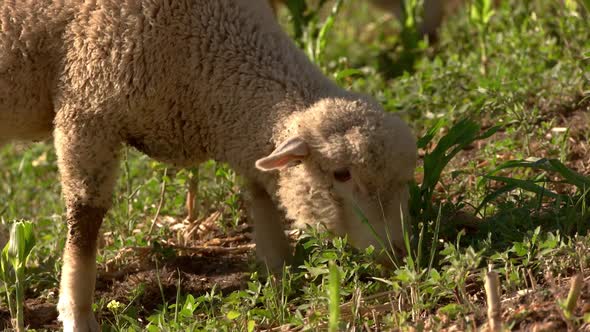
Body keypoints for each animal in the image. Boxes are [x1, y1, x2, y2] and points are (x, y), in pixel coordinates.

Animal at [0, 0, 418, 330]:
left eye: (404, 181)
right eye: (341, 174)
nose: (398, 253)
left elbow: (259, 192)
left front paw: (279, 276)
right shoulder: (85, 108)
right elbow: (84, 222)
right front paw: (77, 314)